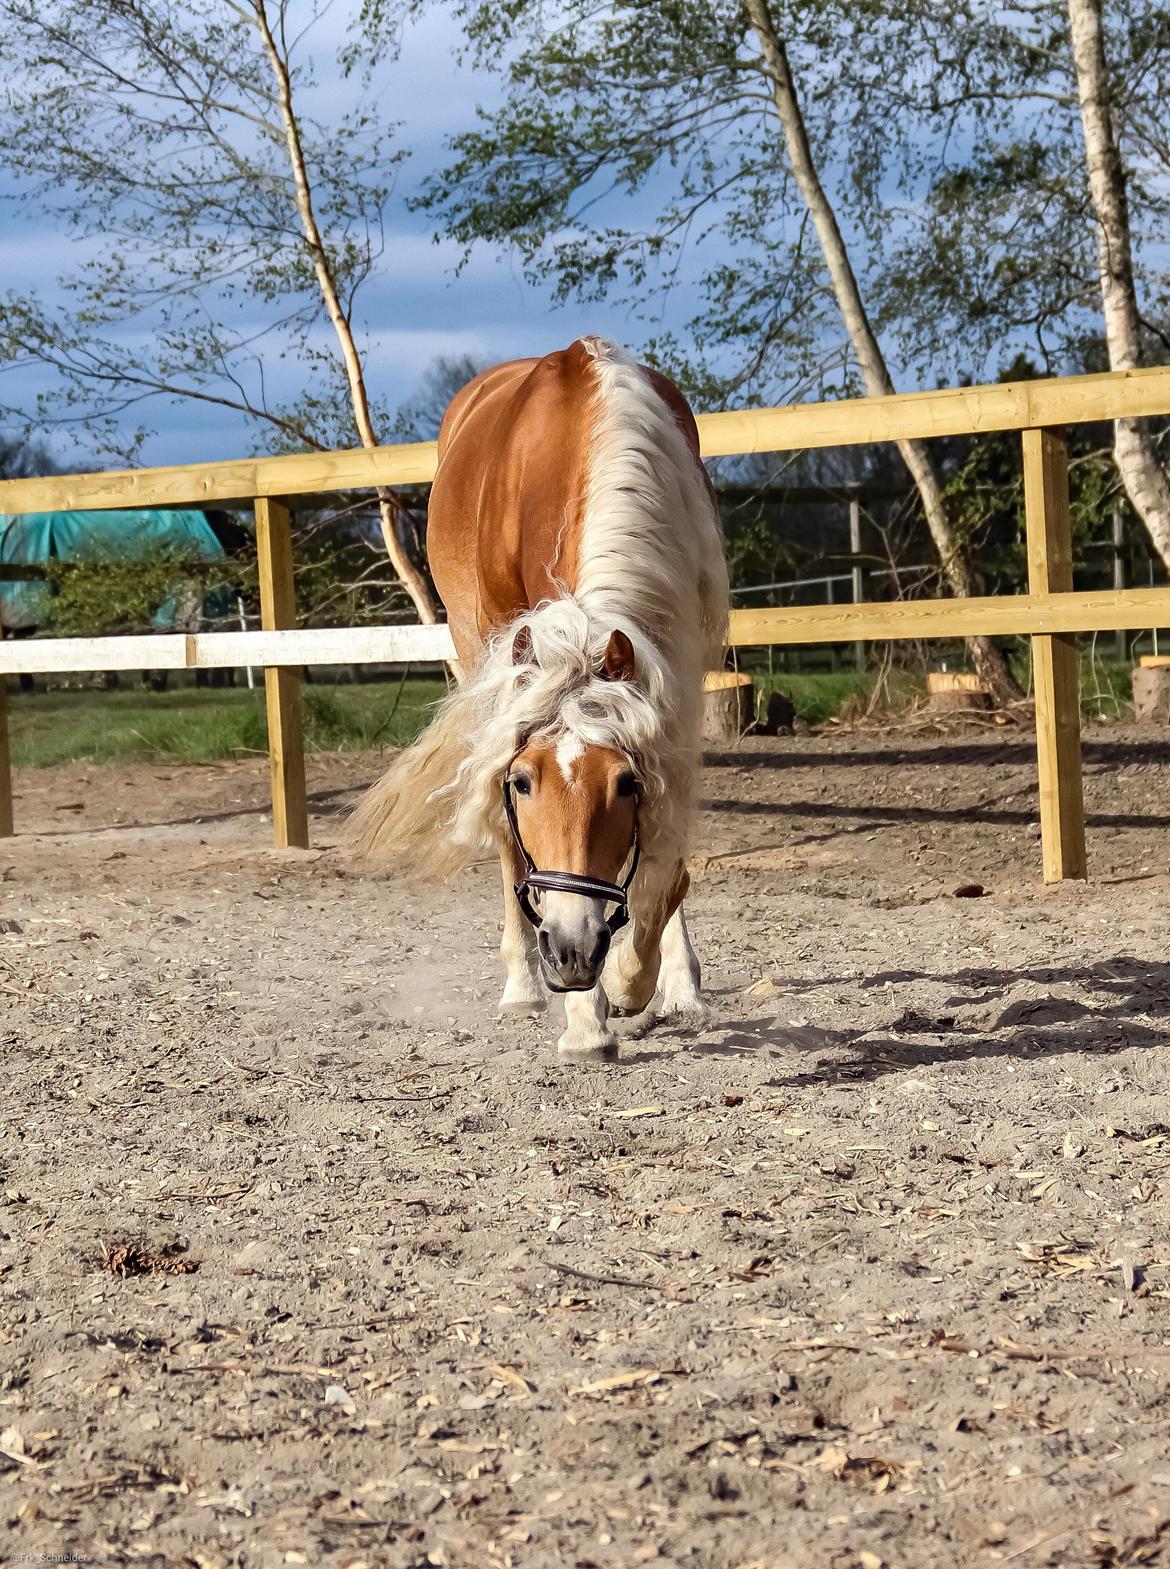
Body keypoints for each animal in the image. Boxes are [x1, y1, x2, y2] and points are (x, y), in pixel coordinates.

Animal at [348, 340, 727, 1054]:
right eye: (523, 783)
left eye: (626, 785)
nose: (574, 951)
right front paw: (587, 1017)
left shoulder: (678, 660)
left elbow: (666, 844)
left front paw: (652, 977)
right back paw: (523, 984)